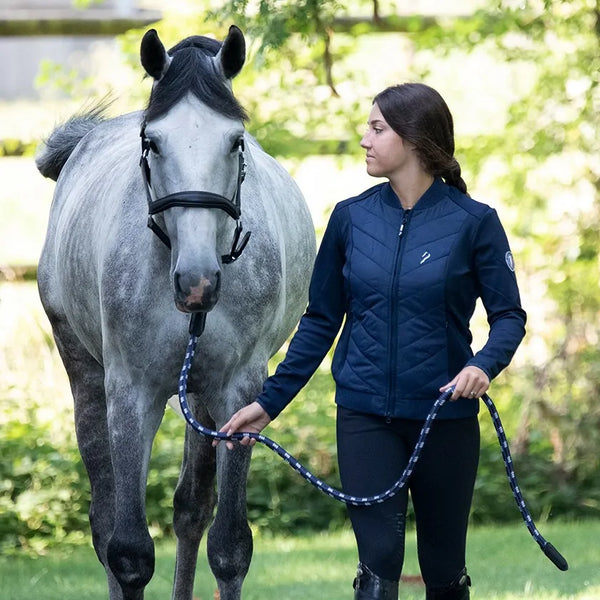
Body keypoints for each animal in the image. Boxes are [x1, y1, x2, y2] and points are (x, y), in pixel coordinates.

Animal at [37, 27, 316, 600]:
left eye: (236, 141)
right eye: (152, 141)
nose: (197, 281)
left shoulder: (238, 392)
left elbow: (229, 546)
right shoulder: (131, 393)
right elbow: (128, 552)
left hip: (200, 397)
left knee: (191, 509)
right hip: (85, 375)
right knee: (104, 522)